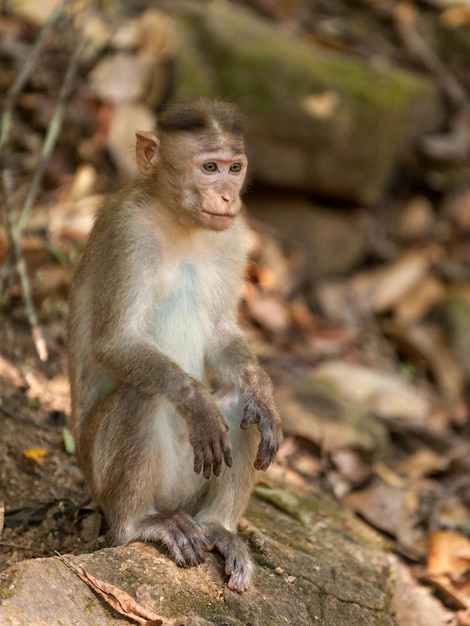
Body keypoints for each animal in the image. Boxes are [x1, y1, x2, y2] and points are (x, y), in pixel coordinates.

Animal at [68, 97, 282, 588]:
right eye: (209, 167)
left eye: (234, 168)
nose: (228, 196)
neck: (180, 223)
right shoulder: (127, 232)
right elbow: (116, 340)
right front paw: (196, 402)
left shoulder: (235, 234)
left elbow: (222, 333)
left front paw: (263, 391)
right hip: (103, 475)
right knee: (142, 395)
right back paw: (140, 523)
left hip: (191, 486)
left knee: (241, 408)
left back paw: (218, 527)